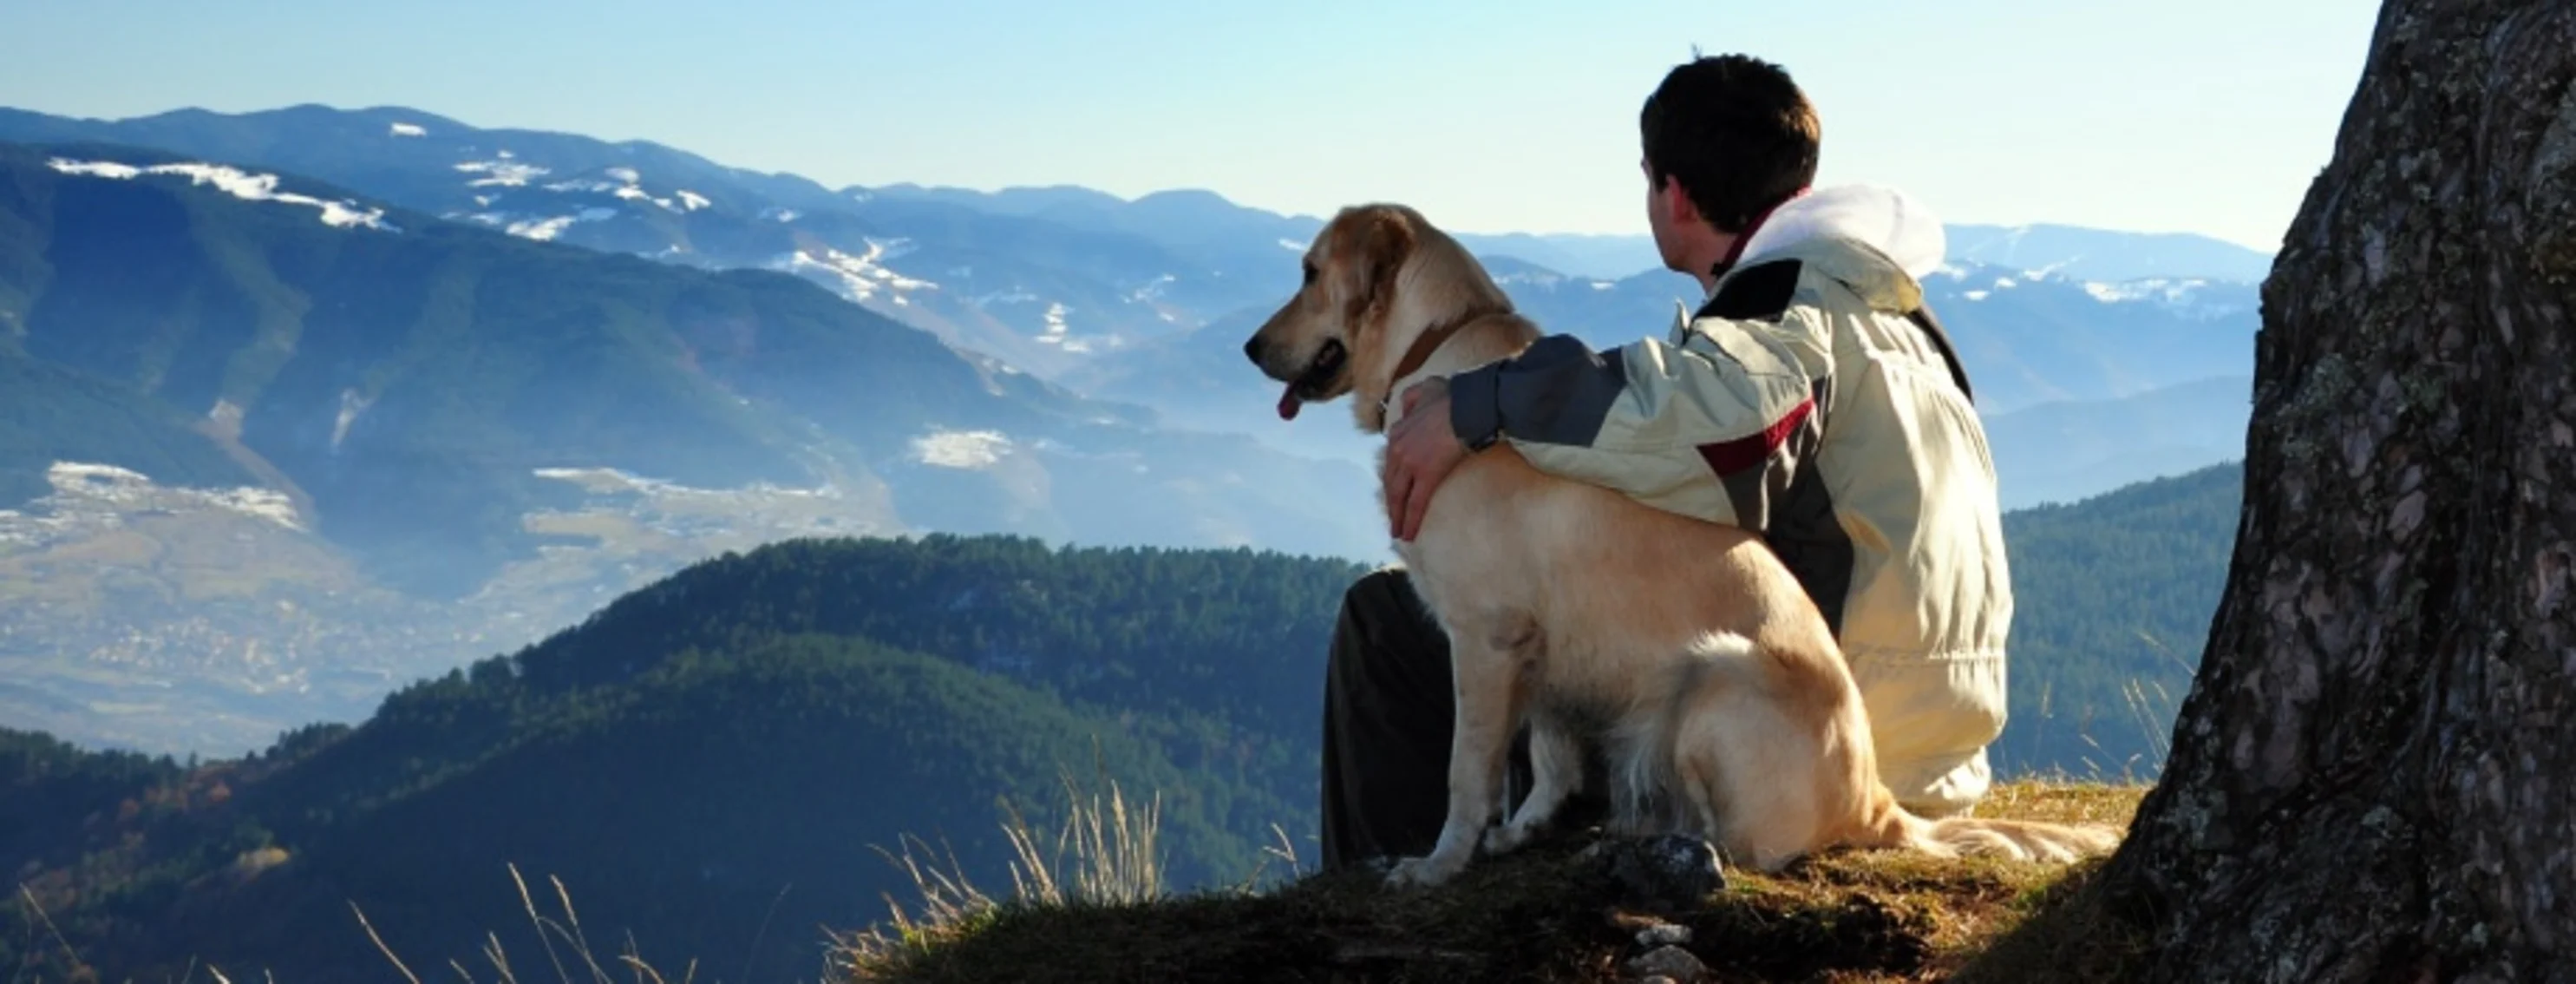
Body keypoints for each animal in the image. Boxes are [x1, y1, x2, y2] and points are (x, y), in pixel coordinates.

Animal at [1241, 203, 2112, 886]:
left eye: (1310, 272)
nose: (1249, 348)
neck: (1436, 352)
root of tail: (1880, 802)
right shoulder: (1544, 647)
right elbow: (1551, 755)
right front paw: (1524, 829)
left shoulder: (1486, 639)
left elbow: (1466, 773)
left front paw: (1438, 864)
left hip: (1716, 676)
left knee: (1751, 848)